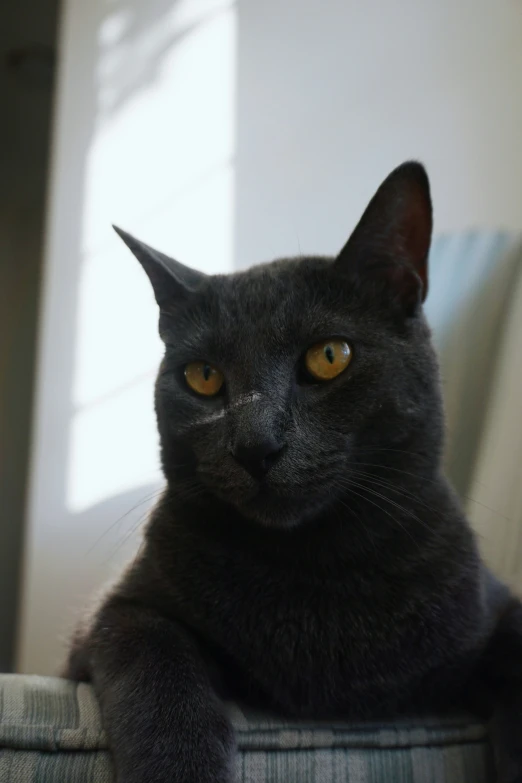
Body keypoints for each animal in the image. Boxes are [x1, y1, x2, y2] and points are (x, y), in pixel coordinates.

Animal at [65, 162, 520, 780]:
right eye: (203, 376)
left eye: (330, 356)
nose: (255, 444)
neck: (314, 567)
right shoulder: (117, 611)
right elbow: (158, 661)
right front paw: (180, 765)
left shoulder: (496, 607)